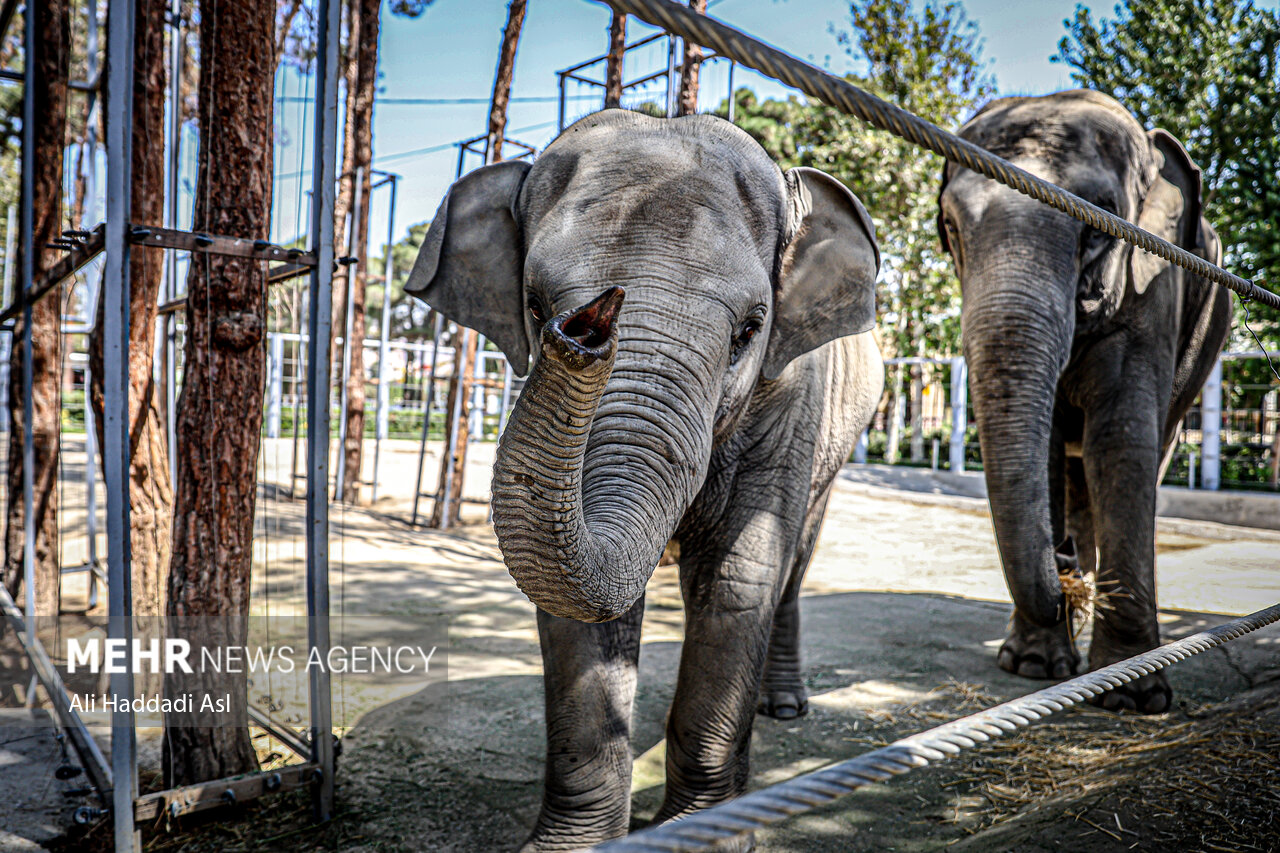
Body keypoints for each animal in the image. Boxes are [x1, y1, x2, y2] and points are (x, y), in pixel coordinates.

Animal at [404, 109, 885, 845]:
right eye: (534, 306)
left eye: (750, 330)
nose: (588, 324)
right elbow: (576, 608)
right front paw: (571, 846)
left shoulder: (792, 395)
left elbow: (739, 577)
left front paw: (706, 835)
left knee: (794, 556)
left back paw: (782, 708)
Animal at [942, 89, 1228, 712]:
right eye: (950, 225)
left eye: (1100, 217)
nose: (1063, 558)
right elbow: (1047, 449)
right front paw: (1033, 666)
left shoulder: (1156, 284)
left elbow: (1120, 441)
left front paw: (1131, 694)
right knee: (1074, 475)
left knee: (1148, 450)